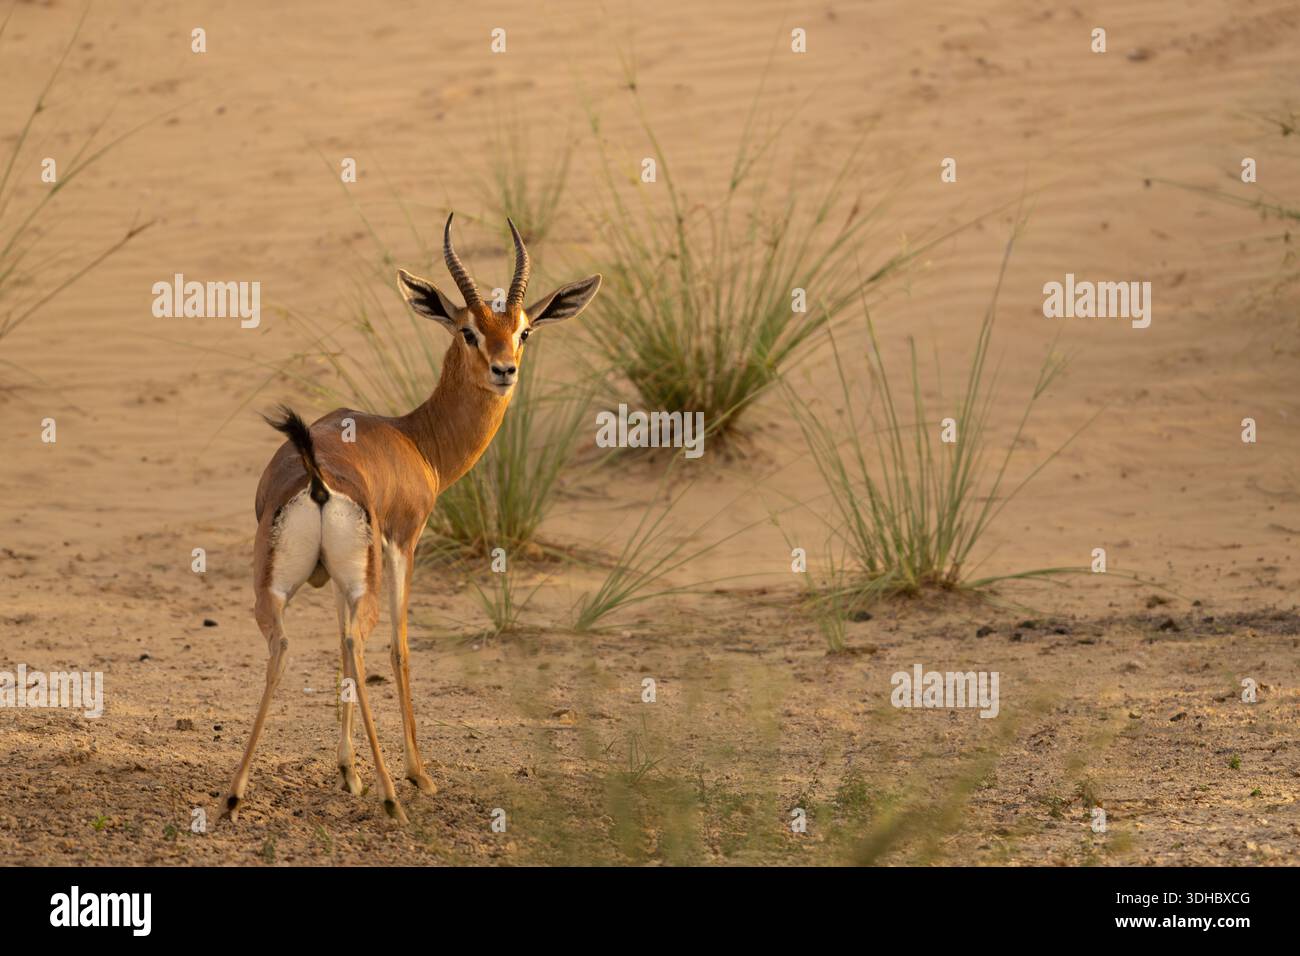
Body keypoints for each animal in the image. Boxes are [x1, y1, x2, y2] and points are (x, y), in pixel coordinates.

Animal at [220, 215, 601, 823]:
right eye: (468, 330)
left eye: (523, 331)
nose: (504, 371)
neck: (413, 437)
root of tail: (316, 477)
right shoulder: (406, 543)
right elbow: (400, 648)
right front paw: (417, 774)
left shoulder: (339, 580)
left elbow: (338, 647)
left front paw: (347, 773)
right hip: (368, 578)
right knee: (362, 644)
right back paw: (393, 795)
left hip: (281, 588)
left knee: (293, 647)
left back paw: (236, 794)